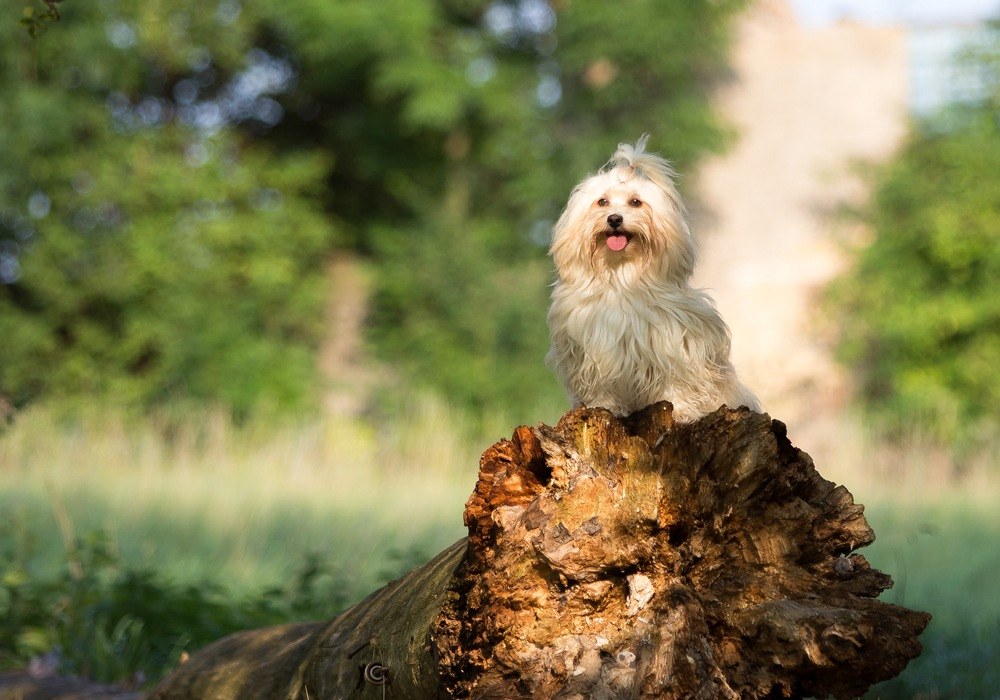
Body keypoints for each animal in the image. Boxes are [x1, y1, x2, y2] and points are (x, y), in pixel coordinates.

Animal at [548, 136, 756, 422]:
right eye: (602, 202)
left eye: (636, 202)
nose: (614, 219)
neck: (621, 277)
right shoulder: (592, 350)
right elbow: (601, 387)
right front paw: (605, 407)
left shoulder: (676, 343)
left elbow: (678, 380)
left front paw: (682, 410)